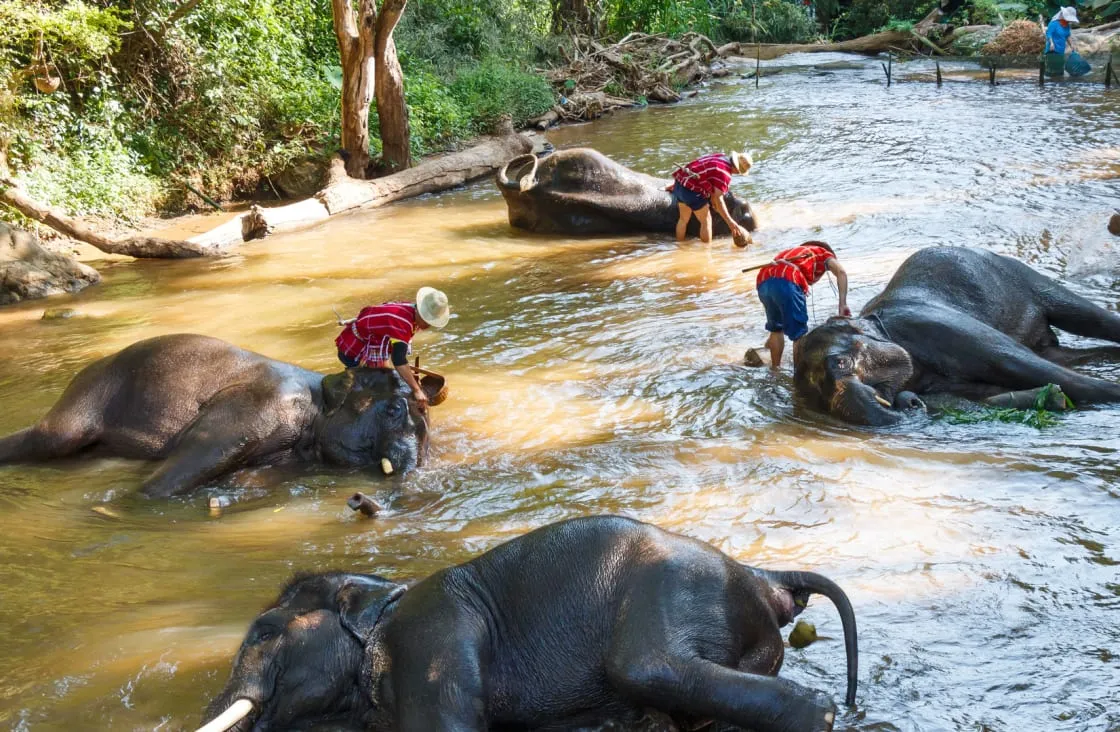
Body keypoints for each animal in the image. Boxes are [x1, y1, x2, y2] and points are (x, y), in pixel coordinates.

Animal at [0, 333, 443, 499]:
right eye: (394, 408)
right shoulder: (255, 404)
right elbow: (193, 456)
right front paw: (121, 506)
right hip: (88, 392)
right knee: (53, 436)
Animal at [199, 517, 855, 732]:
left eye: (262, 633)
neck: (386, 594)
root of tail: (764, 578)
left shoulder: (432, 631)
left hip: (668, 589)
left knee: (645, 668)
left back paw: (819, 717)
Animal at [792, 249, 1120, 427]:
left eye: (842, 363)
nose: (909, 401)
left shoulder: (931, 325)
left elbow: (1018, 363)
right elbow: (985, 395)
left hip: (1019, 275)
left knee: (1086, 317)